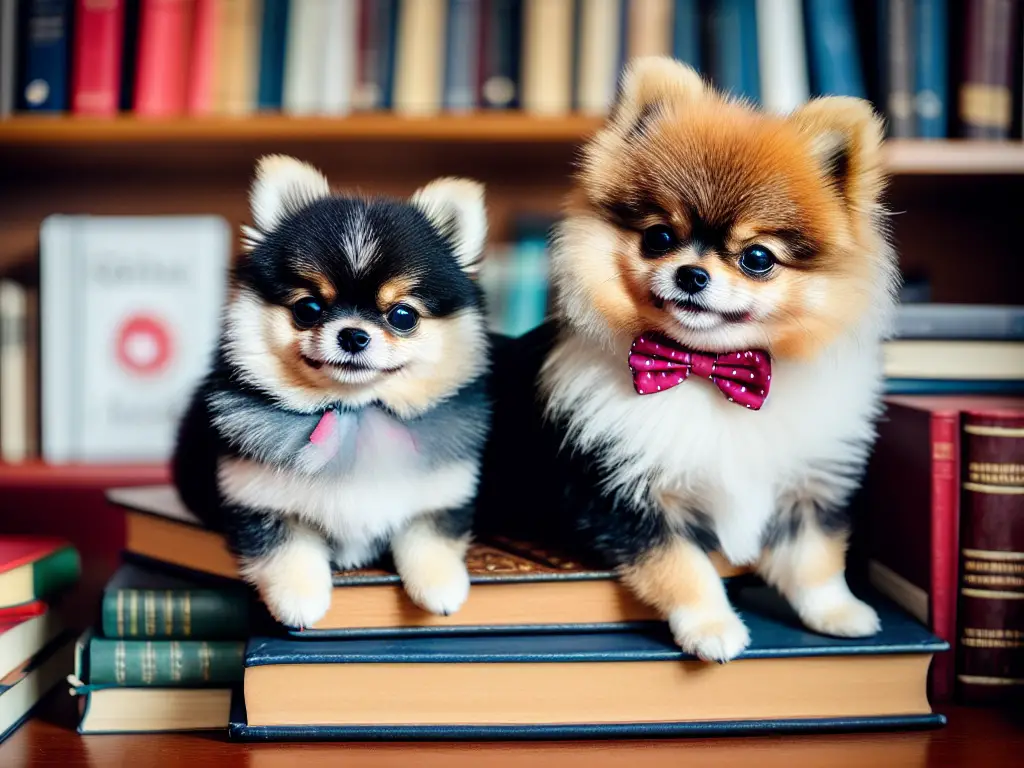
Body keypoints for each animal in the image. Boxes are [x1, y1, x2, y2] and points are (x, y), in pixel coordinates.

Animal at [173, 156, 491, 630]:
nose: (353, 334)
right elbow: (285, 548)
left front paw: (441, 586)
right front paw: (299, 599)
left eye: (402, 315)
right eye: (308, 309)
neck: (355, 413)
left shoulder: (439, 491)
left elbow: (429, 532)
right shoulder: (257, 498)